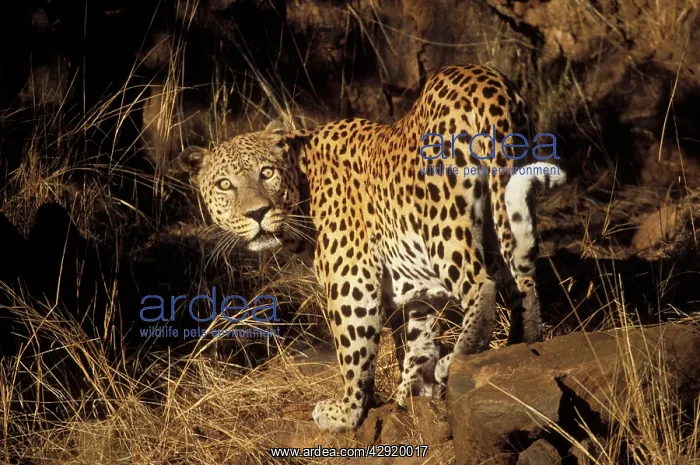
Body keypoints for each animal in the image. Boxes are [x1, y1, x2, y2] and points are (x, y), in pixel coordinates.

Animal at [178, 64, 566, 433]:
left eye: (266, 173)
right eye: (224, 184)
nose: (256, 213)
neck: (302, 182)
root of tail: (486, 82)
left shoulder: (352, 280)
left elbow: (353, 350)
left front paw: (347, 412)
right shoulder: (415, 290)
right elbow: (417, 339)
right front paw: (411, 392)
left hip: (443, 221)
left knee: (481, 285)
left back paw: (454, 361)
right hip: (505, 206)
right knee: (523, 282)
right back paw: (519, 344)